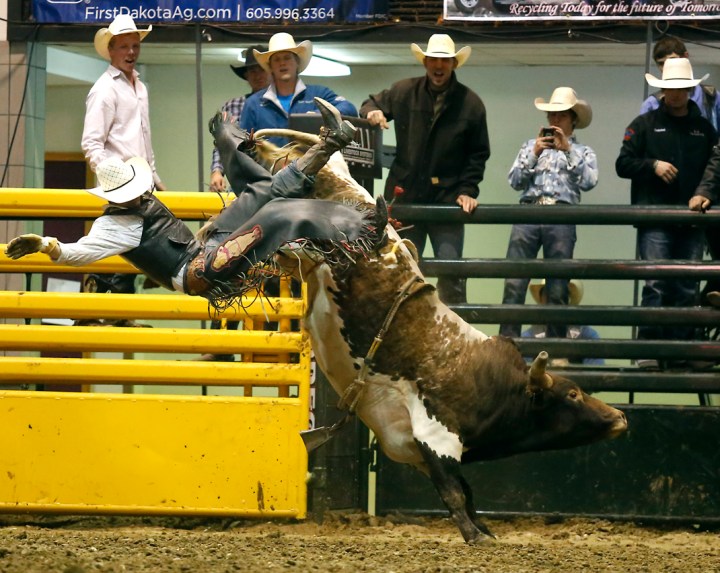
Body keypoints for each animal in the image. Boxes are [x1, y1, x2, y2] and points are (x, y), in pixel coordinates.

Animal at [232, 127, 628, 544]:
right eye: (573, 394)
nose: (619, 416)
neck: (492, 383)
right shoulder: (436, 437)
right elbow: (454, 493)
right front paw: (475, 536)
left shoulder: (415, 449)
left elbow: (466, 493)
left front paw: (485, 530)